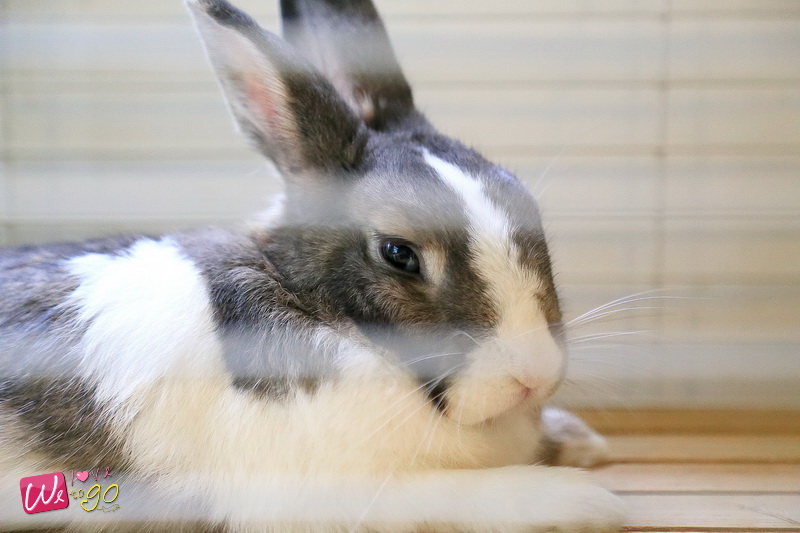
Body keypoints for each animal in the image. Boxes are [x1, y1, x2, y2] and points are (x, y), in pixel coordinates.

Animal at [0, 0, 626, 531]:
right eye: (398, 253)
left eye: (526, 202)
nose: (536, 374)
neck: (312, 307)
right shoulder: (337, 493)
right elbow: (471, 494)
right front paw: (587, 500)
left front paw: (582, 440)